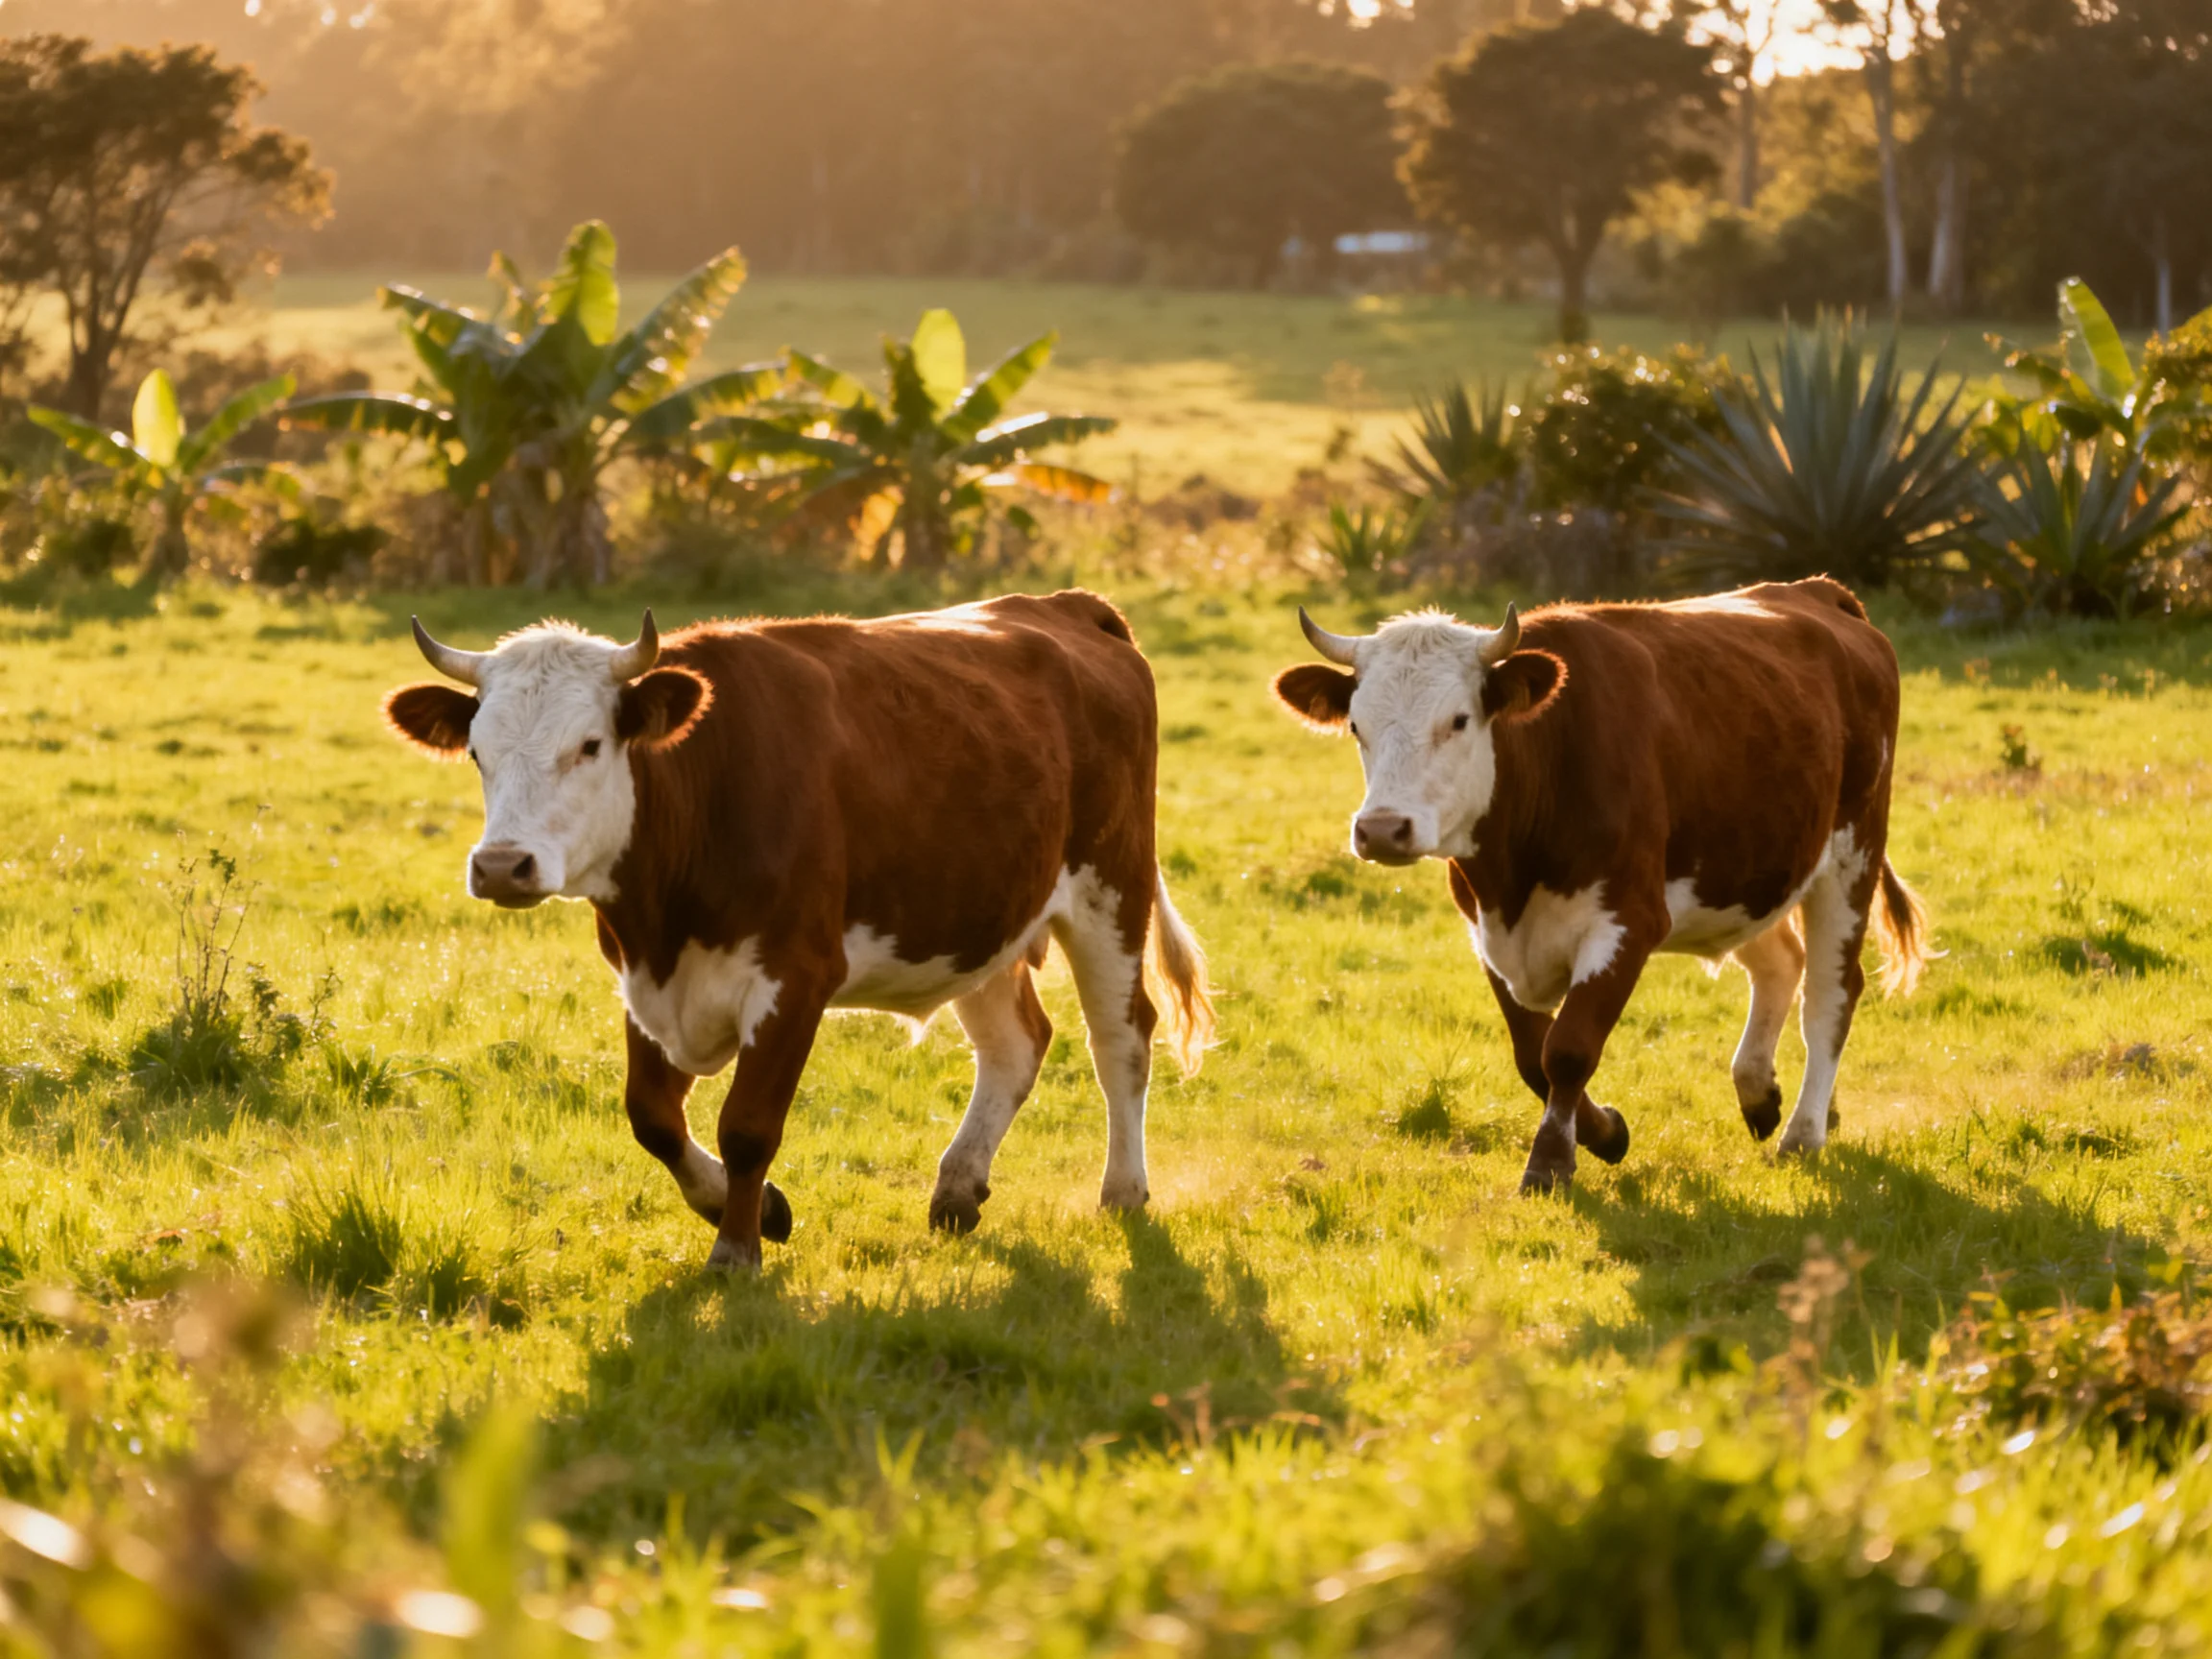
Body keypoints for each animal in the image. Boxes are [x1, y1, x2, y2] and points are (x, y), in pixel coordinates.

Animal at [383, 591, 1213, 1271]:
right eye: (477, 751)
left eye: (588, 745)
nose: (502, 865)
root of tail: (1068, 606)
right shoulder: (645, 981)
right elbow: (653, 1118)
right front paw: (748, 1208)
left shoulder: (795, 978)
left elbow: (747, 1125)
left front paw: (736, 1248)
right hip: (976, 911)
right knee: (1017, 1043)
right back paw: (958, 1185)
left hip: (1111, 887)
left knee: (1120, 1038)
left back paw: (1122, 1190)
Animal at [1272, 578, 1926, 1195]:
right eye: (1357, 725)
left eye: (1458, 720)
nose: (1382, 829)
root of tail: (1818, 592)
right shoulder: (1488, 931)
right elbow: (1531, 1057)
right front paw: (1605, 1131)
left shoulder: (1629, 922)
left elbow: (1567, 1048)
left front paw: (1552, 1163)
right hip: (1743, 866)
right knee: (1781, 964)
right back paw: (1764, 1095)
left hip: (1851, 854)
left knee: (1831, 993)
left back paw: (1805, 1131)